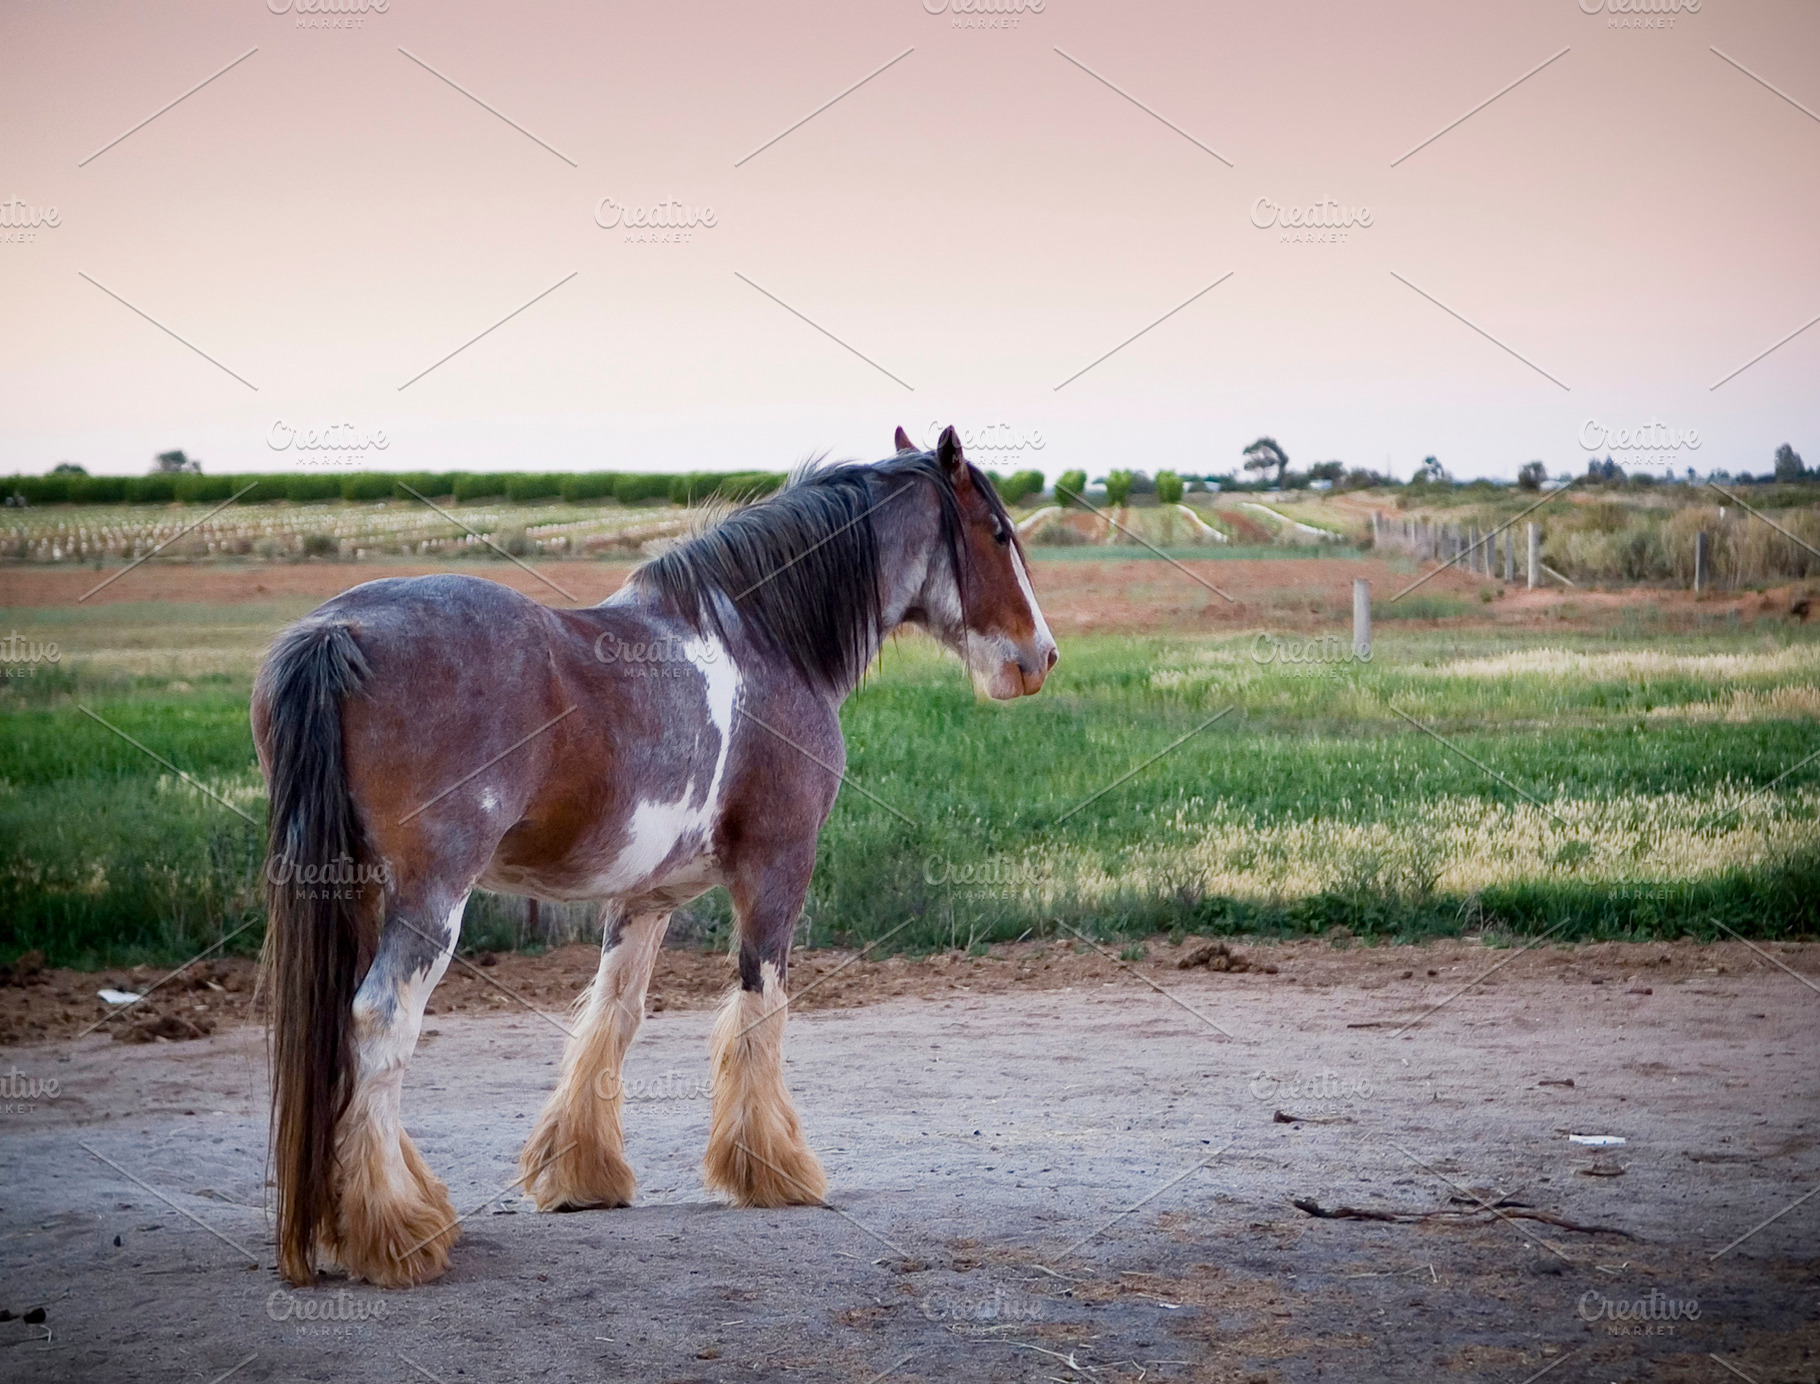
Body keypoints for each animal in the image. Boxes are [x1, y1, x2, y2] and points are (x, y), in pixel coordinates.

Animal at [254, 425, 1057, 1287]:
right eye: (999, 532)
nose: (1040, 656)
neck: (763, 639)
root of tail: (340, 633)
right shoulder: (779, 867)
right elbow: (758, 1005)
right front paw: (773, 1169)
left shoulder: (646, 895)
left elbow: (614, 1013)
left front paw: (582, 1173)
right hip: (431, 896)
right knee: (380, 1021)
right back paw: (395, 1230)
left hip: (358, 888)